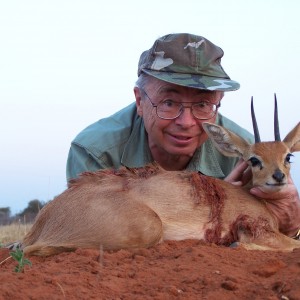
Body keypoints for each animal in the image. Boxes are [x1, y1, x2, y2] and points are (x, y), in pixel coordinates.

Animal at [21, 96, 300, 255]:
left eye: (288, 156)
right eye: (253, 159)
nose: (278, 176)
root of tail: (46, 217)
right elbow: (293, 245)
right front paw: (236, 245)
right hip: (149, 229)